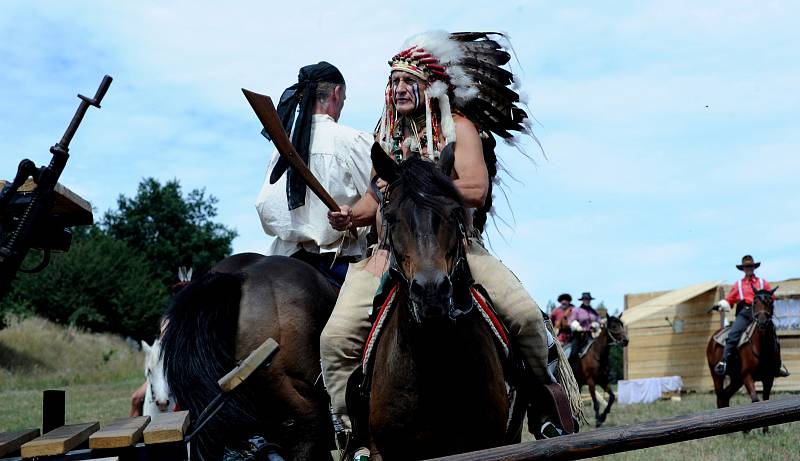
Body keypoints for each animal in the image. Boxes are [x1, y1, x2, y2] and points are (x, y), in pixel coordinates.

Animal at [708, 286, 780, 430]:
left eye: (770, 301)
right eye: (754, 302)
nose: (763, 322)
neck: (762, 348)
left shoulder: (768, 378)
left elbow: (766, 401)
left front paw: (765, 431)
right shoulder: (747, 375)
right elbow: (755, 400)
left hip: (736, 379)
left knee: (725, 396)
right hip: (717, 375)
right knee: (720, 397)